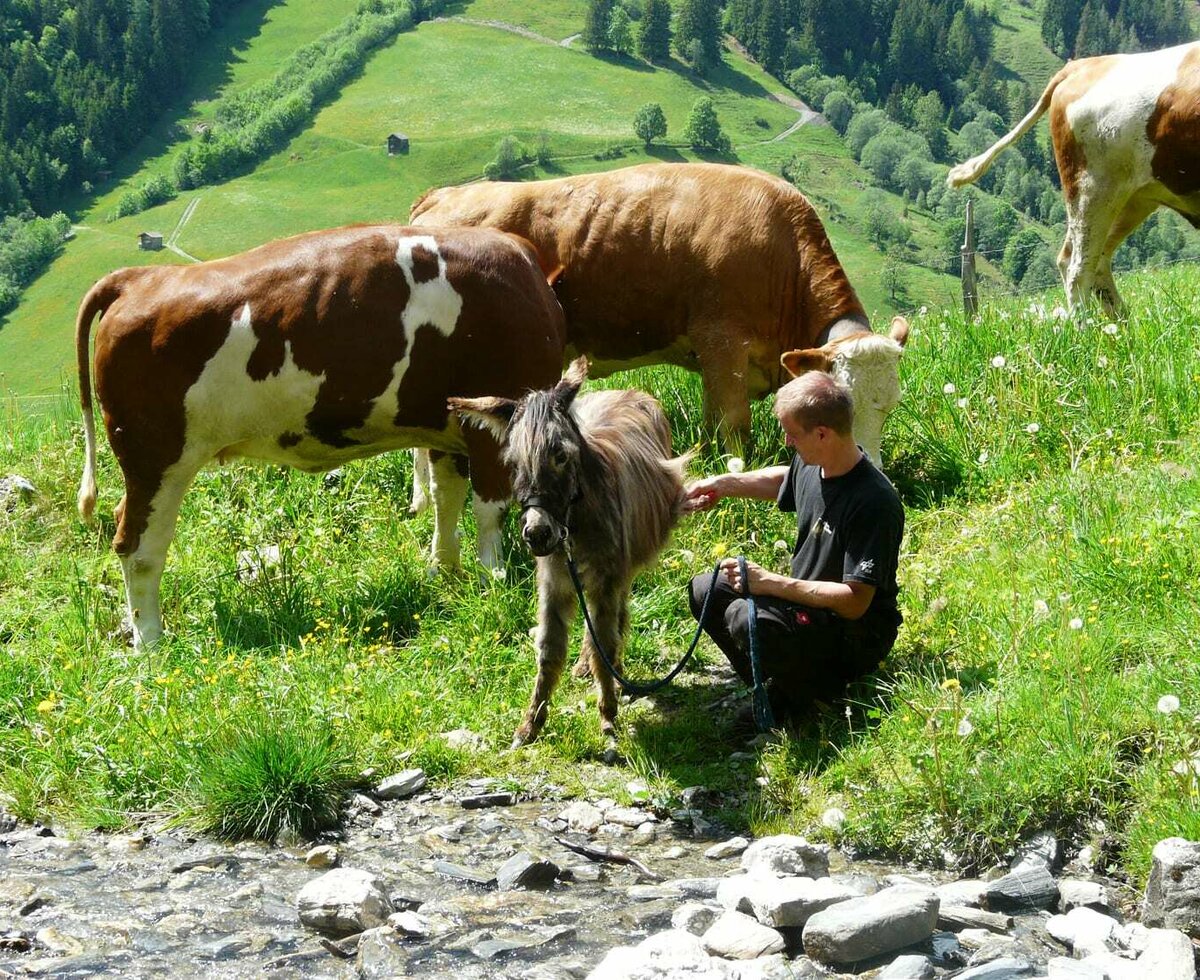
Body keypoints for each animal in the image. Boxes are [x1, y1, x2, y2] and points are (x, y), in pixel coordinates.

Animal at [78, 224, 566, 647]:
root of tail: (140, 277)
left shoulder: (449, 430)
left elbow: (447, 500)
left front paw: (445, 574)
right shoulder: (496, 430)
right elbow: (490, 510)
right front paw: (493, 581)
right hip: (158, 459)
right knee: (139, 547)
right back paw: (150, 643)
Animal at [945, 41, 1200, 314]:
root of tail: (1083, 65)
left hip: (1130, 198)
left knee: (1094, 260)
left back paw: (1121, 325)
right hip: (1092, 190)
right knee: (1078, 268)